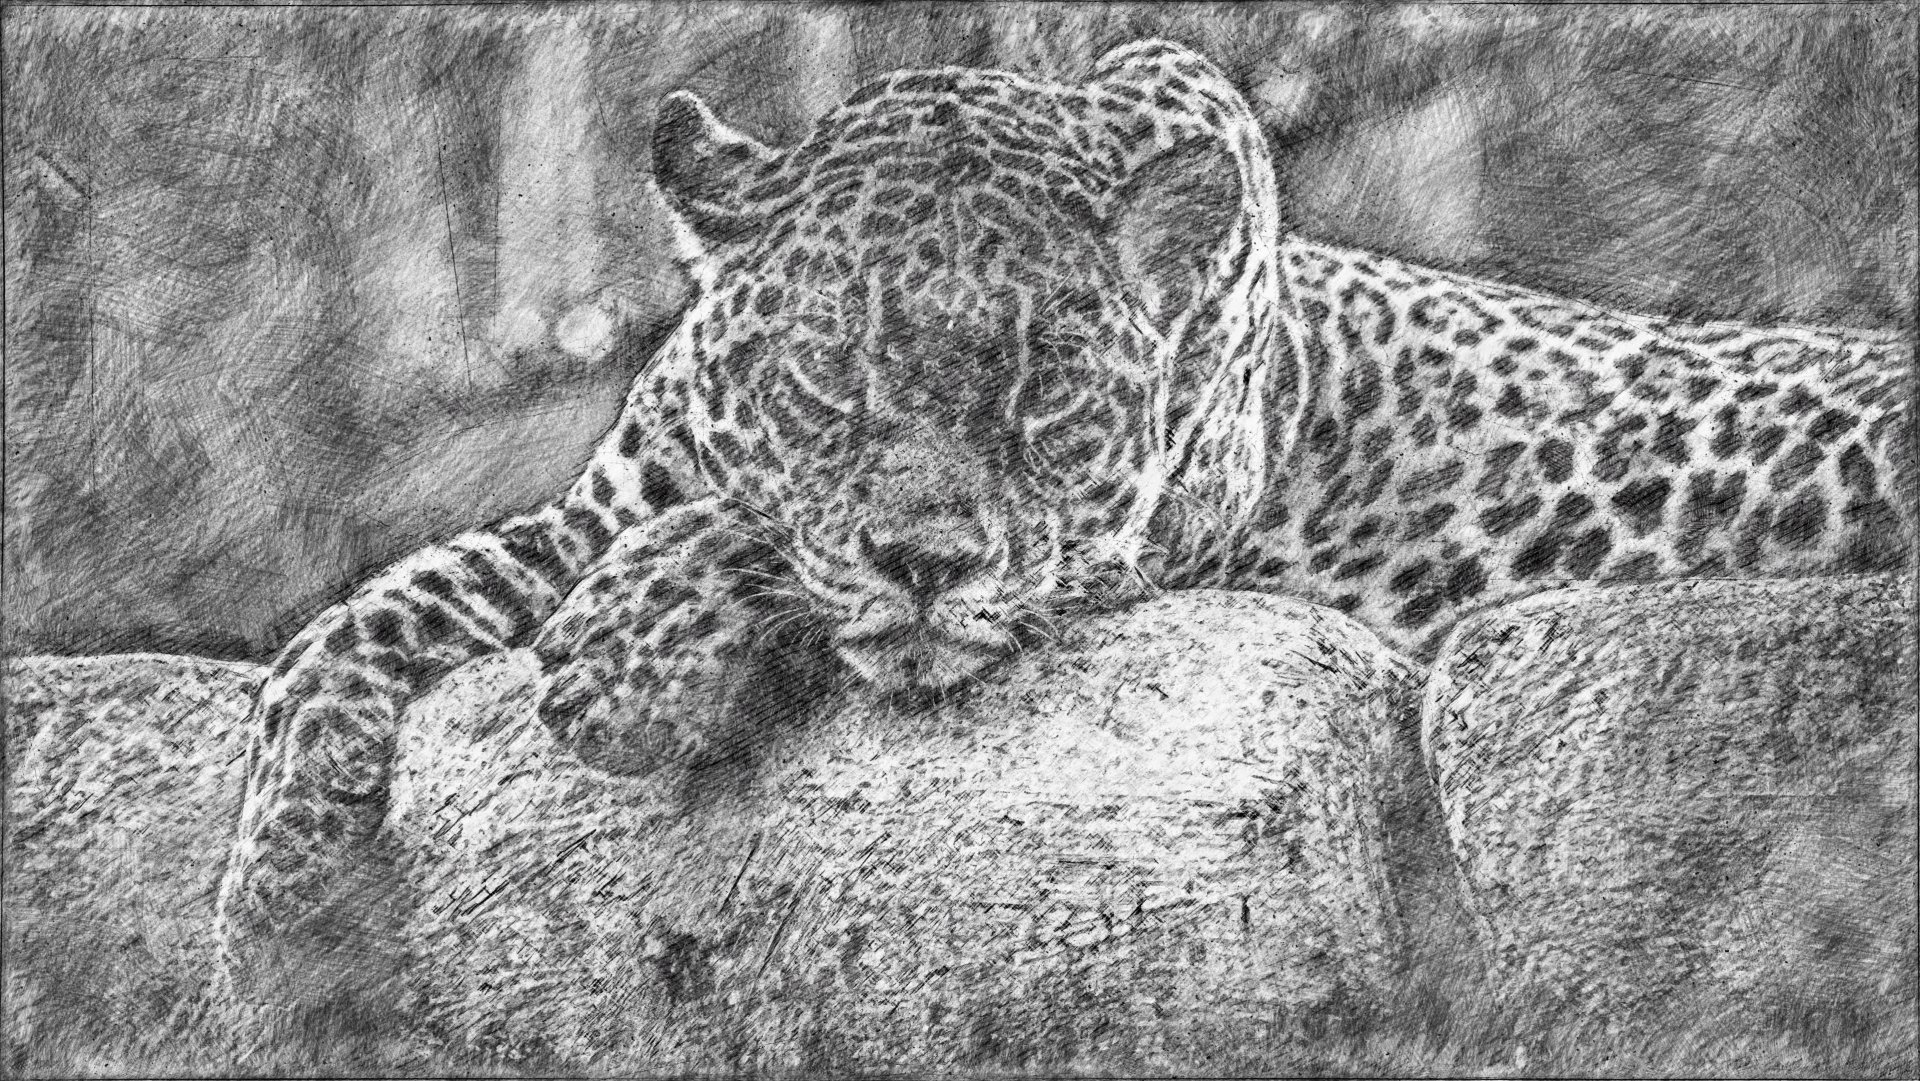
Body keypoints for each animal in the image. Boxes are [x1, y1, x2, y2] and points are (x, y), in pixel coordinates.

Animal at [216, 38, 1915, 974]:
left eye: (1041, 393)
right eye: (830, 372)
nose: (925, 561)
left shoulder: (1138, 545)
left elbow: (763, 546)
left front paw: (628, 662)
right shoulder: (589, 507)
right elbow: (373, 608)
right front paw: (272, 900)